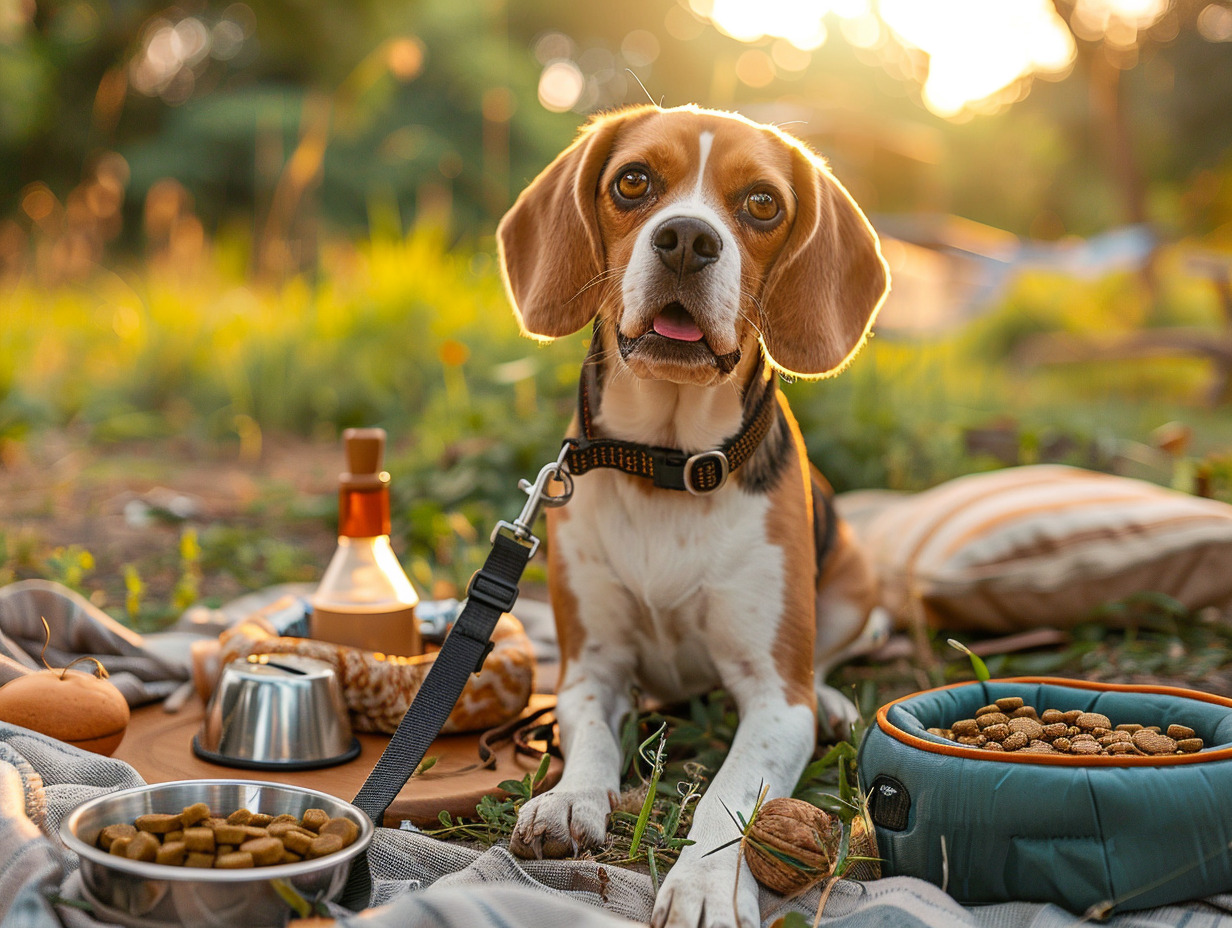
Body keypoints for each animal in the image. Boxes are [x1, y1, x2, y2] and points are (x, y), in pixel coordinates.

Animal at [495, 104, 891, 926]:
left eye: (763, 203)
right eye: (632, 181)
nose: (685, 239)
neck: (669, 468)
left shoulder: (774, 700)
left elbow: (728, 793)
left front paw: (706, 884)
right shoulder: (591, 668)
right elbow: (592, 740)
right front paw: (570, 800)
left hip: (852, 582)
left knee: (829, 658)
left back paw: (834, 699)